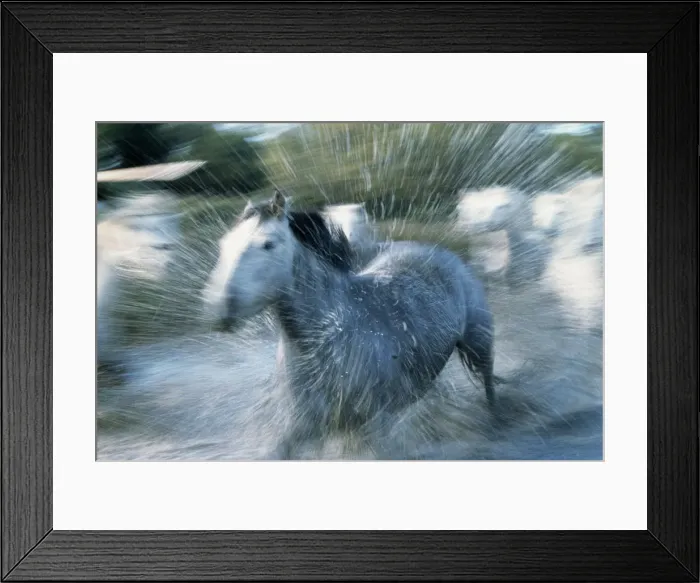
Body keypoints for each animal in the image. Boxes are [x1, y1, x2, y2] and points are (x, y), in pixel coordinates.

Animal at [202, 190, 496, 459]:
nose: (218, 307)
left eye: (268, 244)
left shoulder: (376, 423)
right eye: (224, 243)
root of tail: (435, 251)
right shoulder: (304, 425)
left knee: (488, 385)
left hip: (479, 345)